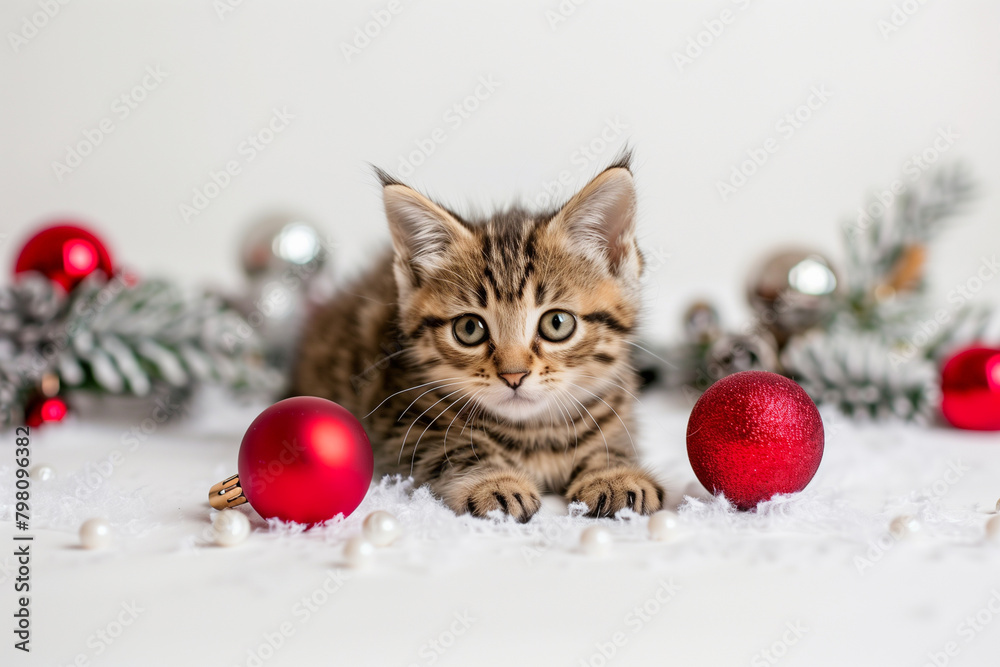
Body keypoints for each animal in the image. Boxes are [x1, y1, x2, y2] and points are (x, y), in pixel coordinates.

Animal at [292, 155, 664, 520]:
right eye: (469, 329)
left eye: (557, 323)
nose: (514, 376)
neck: (536, 433)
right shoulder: (396, 421)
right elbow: (451, 447)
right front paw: (494, 482)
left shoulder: (618, 405)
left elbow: (611, 441)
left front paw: (615, 474)